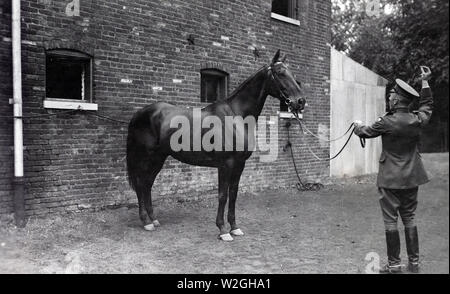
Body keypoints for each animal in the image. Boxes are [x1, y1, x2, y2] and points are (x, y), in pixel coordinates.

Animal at [125, 50, 306, 241]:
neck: (236, 116)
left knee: (147, 184)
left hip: (159, 157)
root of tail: (139, 113)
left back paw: (153, 219)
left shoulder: (240, 164)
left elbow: (233, 194)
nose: (300, 101)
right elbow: (222, 195)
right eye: (280, 72)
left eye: (292, 73)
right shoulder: (225, 164)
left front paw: (234, 227)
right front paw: (223, 230)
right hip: (147, 157)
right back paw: (146, 222)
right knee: (141, 183)